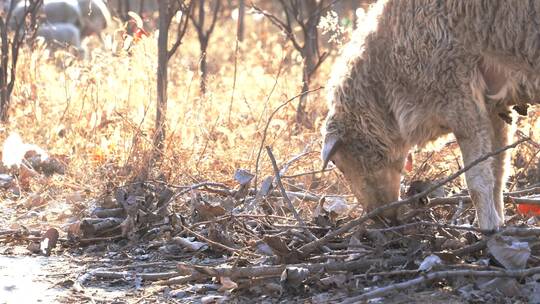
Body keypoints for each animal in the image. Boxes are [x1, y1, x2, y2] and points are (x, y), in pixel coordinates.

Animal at [322, 0, 540, 230]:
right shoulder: (494, 108)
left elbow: (477, 179)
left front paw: (487, 227)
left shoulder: (459, 100)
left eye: (338, 163)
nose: (379, 219)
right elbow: (498, 169)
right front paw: (498, 221)